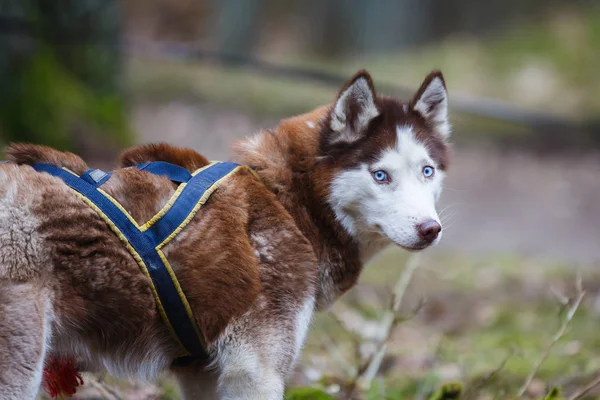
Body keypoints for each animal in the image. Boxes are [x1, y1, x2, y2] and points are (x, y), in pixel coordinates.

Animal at [0, 70, 448, 398]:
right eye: (380, 175)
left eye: (427, 171)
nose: (431, 229)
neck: (289, 201)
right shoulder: (254, 371)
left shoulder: (201, 372)